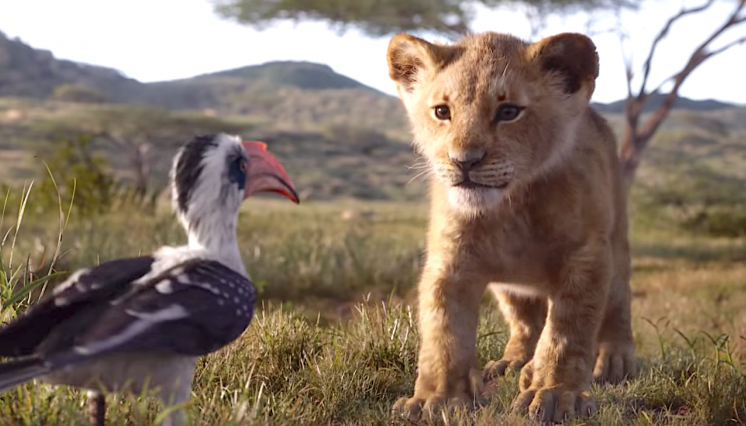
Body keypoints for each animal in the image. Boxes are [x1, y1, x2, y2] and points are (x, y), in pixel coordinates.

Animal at [385, 31, 636, 423]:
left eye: (508, 112)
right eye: (442, 111)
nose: (464, 162)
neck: (510, 206)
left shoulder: (586, 256)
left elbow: (567, 332)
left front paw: (554, 393)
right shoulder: (450, 261)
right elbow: (444, 331)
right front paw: (435, 399)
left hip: (617, 242)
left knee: (618, 301)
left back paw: (613, 360)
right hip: (509, 287)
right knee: (526, 323)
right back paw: (515, 362)